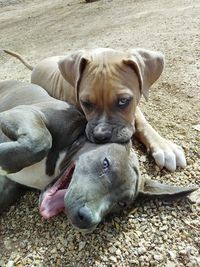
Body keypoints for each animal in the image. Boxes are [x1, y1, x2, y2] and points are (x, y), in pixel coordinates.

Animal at [3, 48, 187, 172]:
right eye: (86, 103)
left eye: (123, 101)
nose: (101, 135)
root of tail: (36, 66)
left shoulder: (135, 105)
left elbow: (142, 123)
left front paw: (163, 145)